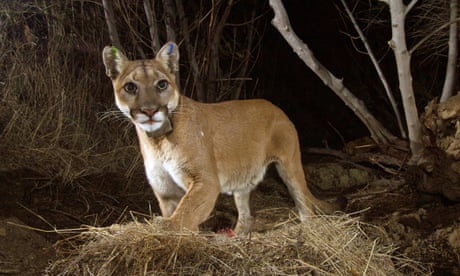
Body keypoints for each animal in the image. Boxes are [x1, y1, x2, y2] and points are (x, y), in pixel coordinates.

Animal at [103, 42, 338, 234]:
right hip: (243, 178)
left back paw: (307, 230)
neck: (157, 140)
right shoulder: (165, 190)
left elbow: (185, 214)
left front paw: (163, 228)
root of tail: (276, 107)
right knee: (246, 215)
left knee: (304, 203)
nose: (149, 111)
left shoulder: (205, 181)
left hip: (289, 165)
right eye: (130, 87)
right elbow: (182, 215)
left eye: (161, 84)